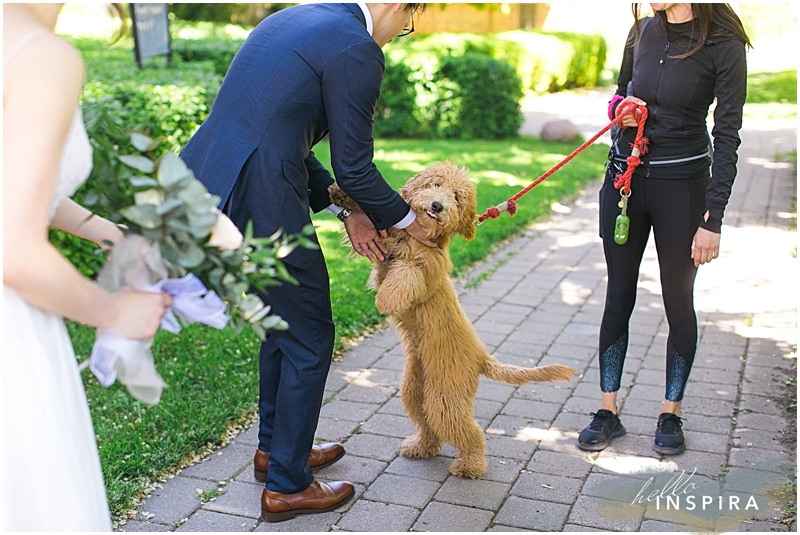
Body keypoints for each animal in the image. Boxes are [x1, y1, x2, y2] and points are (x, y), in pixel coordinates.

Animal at [328, 164, 580, 482]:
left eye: (457, 198)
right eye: (436, 184)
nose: (438, 206)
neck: (413, 236)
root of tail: (482, 356)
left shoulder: (422, 269)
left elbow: (405, 276)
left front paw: (386, 300)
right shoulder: (384, 238)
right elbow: (371, 220)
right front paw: (340, 193)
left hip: (445, 394)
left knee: (468, 431)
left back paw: (469, 465)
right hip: (415, 389)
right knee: (429, 425)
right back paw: (421, 447)